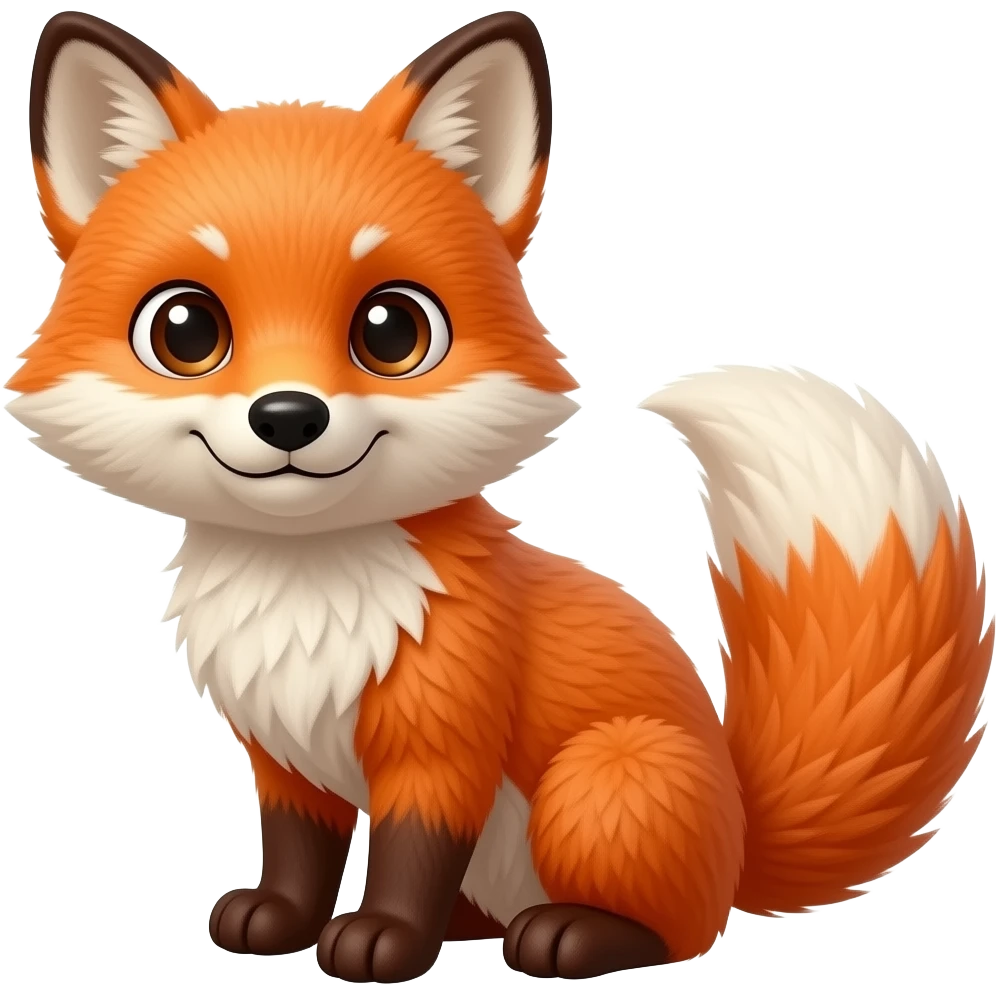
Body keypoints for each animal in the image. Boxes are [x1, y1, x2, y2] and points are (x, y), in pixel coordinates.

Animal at [8, 8, 993, 984]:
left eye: (392, 331)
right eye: (185, 330)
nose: (288, 415)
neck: (308, 601)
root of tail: (742, 832)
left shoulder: (443, 743)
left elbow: (411, 854)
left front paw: (383, 940)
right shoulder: (286, 758)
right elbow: (297, 851)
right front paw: (280, 920)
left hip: (602, 780)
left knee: (681, 933)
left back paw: (570, 935)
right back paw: (470, 929)